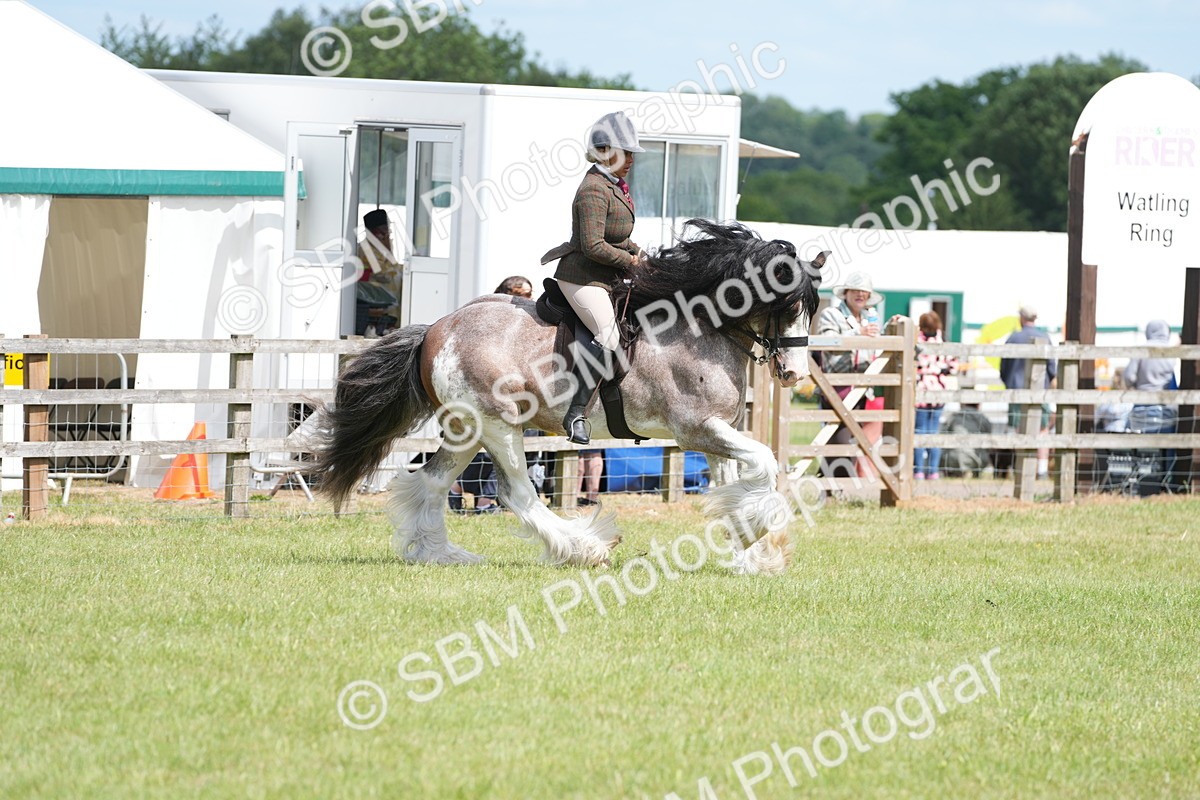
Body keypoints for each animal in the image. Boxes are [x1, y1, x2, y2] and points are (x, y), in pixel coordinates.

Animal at [309, 219, 824, 575]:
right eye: (787, 306)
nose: (795, 374)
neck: (701, 327)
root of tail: (438, 328)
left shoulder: (718, 434)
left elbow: (736, 483)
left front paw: (751, 554)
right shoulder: (697, 430)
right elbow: (765, 465)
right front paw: (757, 537)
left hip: (466, 430)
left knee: (433, 483)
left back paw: (444, 555)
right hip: (500, 426)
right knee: (517, 493)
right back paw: (585, 548)